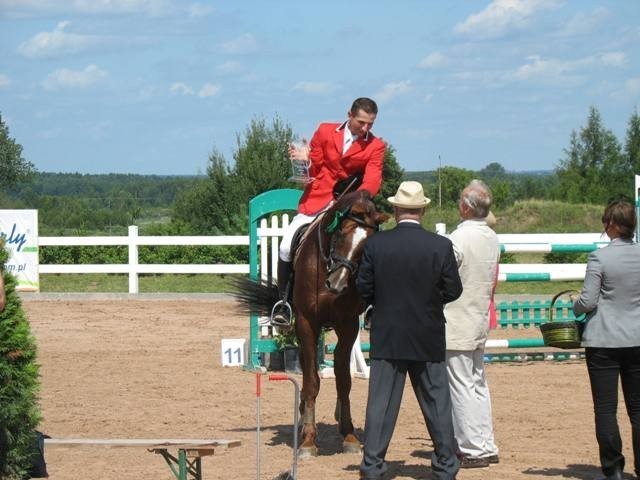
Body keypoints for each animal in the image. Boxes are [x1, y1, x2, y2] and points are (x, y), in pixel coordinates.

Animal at [234, 191, 388, 458]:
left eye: (366, 246)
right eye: (341, 232)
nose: (336, 284)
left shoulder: (348, 324)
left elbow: (343, 380)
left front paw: (349, 436)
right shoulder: (307, 322)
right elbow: (311, 381)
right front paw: (307, 440)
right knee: (307, 368)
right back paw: (303, 412)